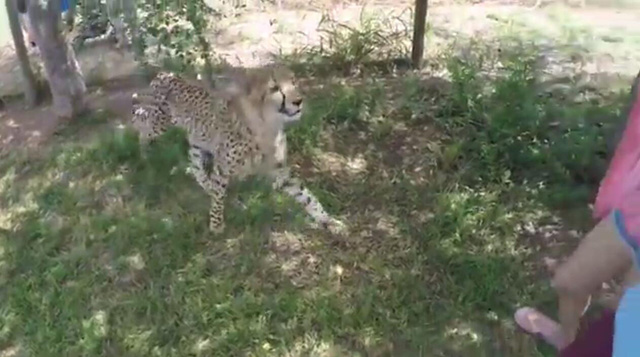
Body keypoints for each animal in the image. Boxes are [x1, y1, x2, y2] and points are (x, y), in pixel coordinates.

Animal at [130, 65, 344, 234]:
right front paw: (216, 226)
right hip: (160, 122)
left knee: (196, 167)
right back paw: (142, 147)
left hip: (198, 143)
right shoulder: (223, 168)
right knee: (142, 121)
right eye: (275, 88)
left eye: (293, 81)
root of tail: (164, 73)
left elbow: (307, 197)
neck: (267, 124)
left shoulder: (280, 172)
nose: (298, 101)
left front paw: (328, 220)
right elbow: (218, 198)